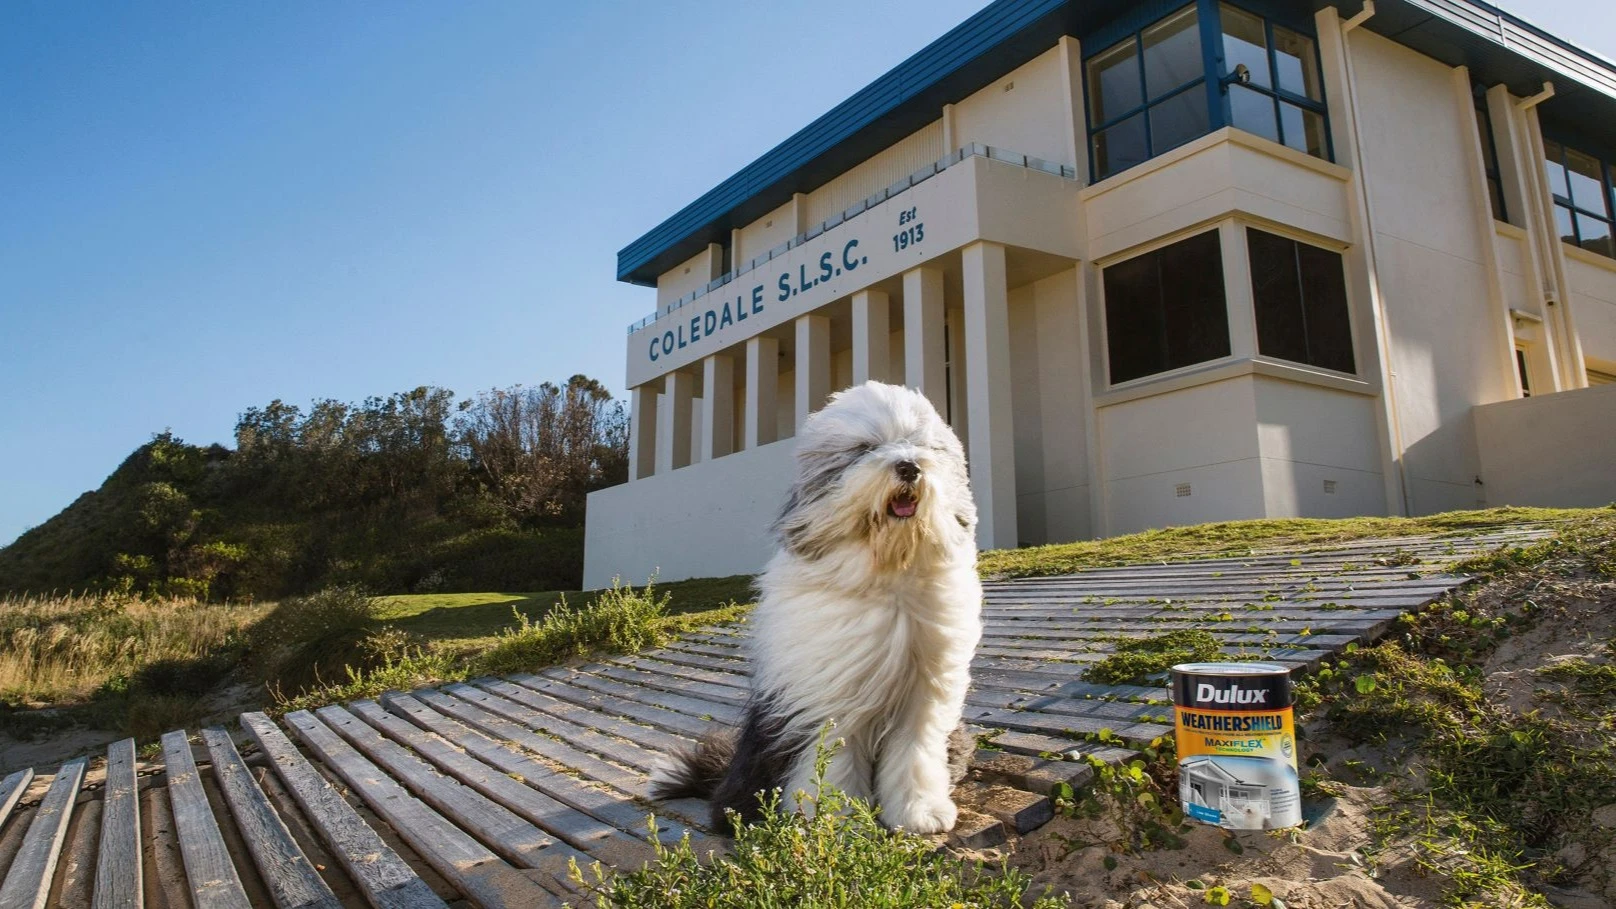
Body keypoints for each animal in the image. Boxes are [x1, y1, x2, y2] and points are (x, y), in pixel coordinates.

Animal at [646, 378, 982, 834]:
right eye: (865, 448)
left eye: (919, 445)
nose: (910, 467)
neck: (886, 571)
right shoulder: (830, 699)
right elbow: (833, 761)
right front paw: (837, 820)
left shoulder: (924, 696)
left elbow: (915, 753)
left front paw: (920, 813)